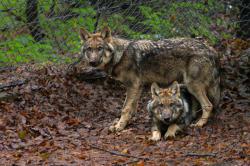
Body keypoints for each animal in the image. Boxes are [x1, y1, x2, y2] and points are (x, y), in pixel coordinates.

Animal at [79, 26, 220, 132]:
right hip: (191, 86)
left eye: (100, 48)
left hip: (192, 85)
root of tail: (210, 49)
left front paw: (119, 126)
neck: (120, 56)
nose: (92, 62)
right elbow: (132, 108)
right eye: (89, 49)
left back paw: (200, 124)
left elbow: (125, 108)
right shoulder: (138, 87)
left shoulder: (133, 86)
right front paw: (127, 123)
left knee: (208, 105)